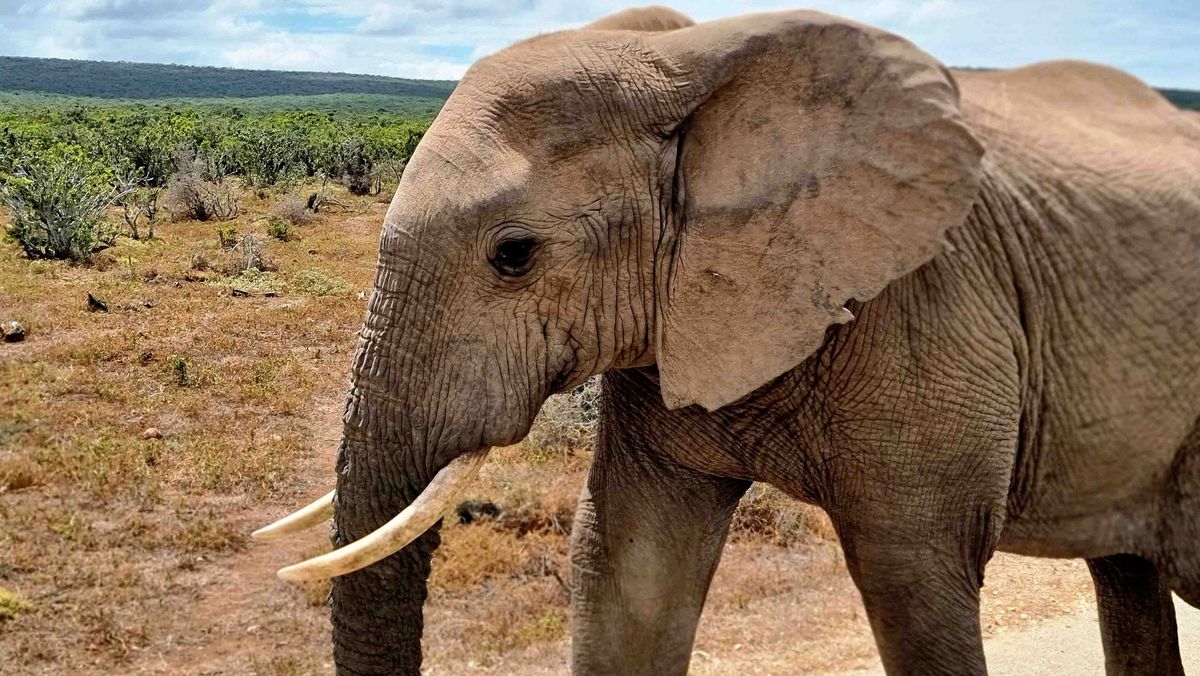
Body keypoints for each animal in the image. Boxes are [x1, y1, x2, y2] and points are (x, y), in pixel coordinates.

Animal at [254, 6, 1200, 675]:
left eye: (513, 256)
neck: (689, 62)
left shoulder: (935, 308)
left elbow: (914, 583)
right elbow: (628, 565)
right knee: (1127, 574)